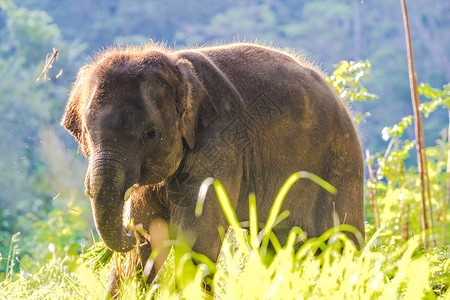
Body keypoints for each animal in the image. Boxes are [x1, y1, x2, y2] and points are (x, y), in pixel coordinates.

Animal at [61, 42, 366, 296]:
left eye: (150, 134)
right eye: (85, 132)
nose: (128, 234)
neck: (178, 69)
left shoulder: (219, 145)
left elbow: (197, 237)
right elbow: (146, 225)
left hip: (341, 163)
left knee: (342, 241)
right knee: (273, 244)